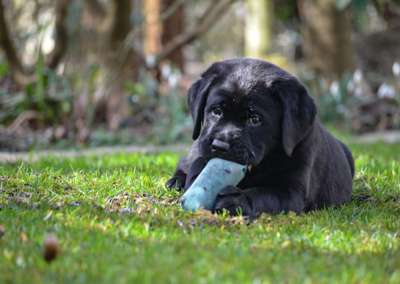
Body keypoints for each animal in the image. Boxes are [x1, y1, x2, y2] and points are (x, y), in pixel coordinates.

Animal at [166, 58, 354, 217]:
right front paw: (198, 174)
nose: (220, 146)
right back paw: (176, 180)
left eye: (255, 119)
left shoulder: (292, 191)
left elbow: (264, 194)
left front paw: (236, 200)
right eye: (216, 111)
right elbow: (197, 162)